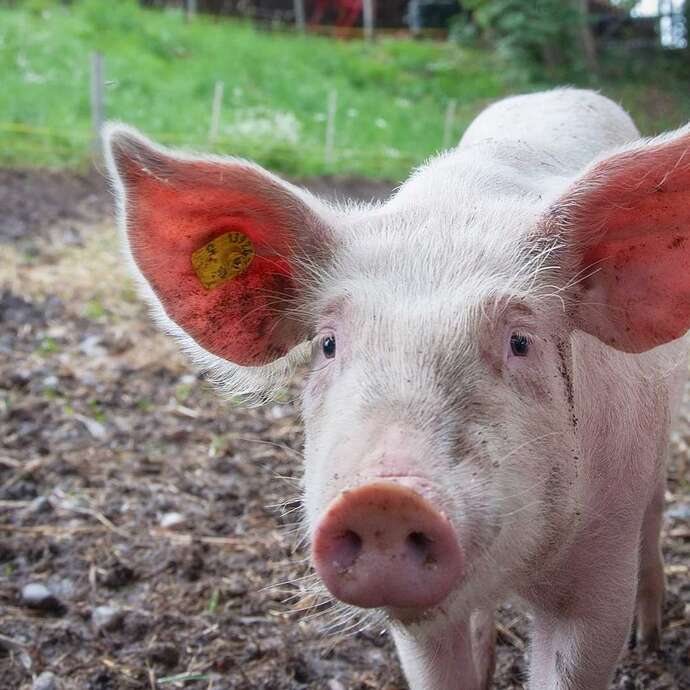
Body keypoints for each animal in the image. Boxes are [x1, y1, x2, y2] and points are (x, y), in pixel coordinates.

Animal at [103, 87, 688, 688]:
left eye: (521, 341)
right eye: (328, 344)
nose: (383, 499)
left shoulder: (599, 575)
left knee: (654, 514)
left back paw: (650, 638)